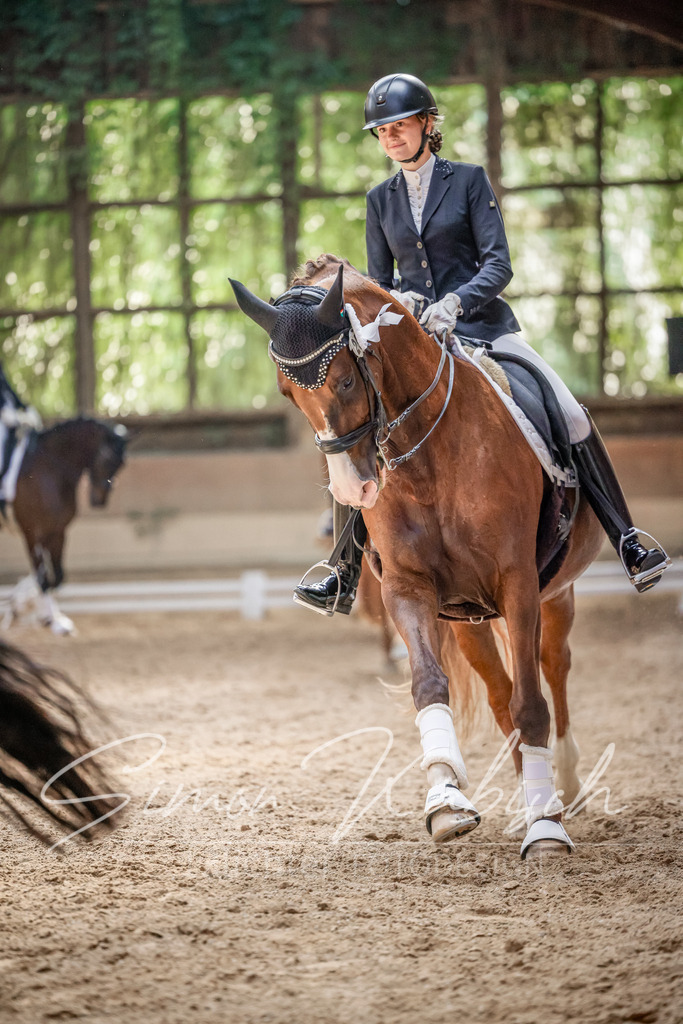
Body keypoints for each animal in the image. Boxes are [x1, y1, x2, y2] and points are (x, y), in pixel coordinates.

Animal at [2, 417, 127, 635]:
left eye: (122, 464)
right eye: (105, 459)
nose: (100, 500)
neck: (50, 471)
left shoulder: (57, 532)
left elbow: (57, 576)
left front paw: (49, 616)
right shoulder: (32, 534)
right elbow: (43, 577)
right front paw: (53, 621)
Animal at [231, 254, 605, 860]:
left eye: (345, 378)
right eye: (288, 394)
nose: (355, 491)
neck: (427, 454)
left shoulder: (519, 582)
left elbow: (533, 702)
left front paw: (547, 832)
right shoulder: (407, 588)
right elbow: (431, 687)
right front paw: (448, 803)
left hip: (555, 592)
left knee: (553, 666)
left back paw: (563, 789)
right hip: (471, 619)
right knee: (500, 694)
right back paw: (531, 793)